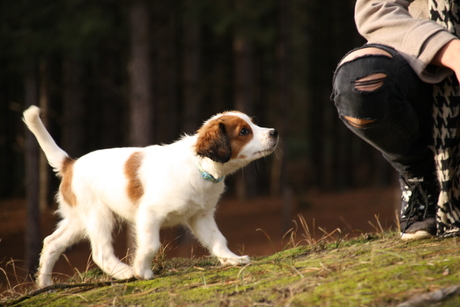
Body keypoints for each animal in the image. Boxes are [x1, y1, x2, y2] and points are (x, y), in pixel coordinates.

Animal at [23, 106, 278, 288]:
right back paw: (124, 272)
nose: (274, 132)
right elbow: (151, 245)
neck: (199, 166)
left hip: (78, 220)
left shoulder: (201, 216)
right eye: (244, 131)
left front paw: (231, 259)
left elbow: (218, 239)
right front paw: (141, 271)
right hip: (98, 215)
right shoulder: (149, 214)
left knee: (51, 242)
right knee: (100, 252)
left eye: (253, 123)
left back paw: (44, 284)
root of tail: (71, 164)